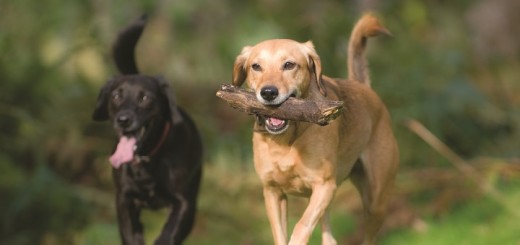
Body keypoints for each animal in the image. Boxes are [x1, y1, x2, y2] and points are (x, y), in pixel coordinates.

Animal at [92, 16, 202, 244]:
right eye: (116, 96)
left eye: (145, 97)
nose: (123, 120)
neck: (147, 160)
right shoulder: (124, 200)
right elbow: (131, 234)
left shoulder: (185, 204)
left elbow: (169, 234)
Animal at [232, 13, 398, 245]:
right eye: (256, 66)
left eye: (289, 65)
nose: (268, 92)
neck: (286, 141)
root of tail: (364, 88)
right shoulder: (273, 192)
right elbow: (280, 234)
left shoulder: (324, 186)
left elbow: (301, 226)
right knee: (329, 237)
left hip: (375, 201)